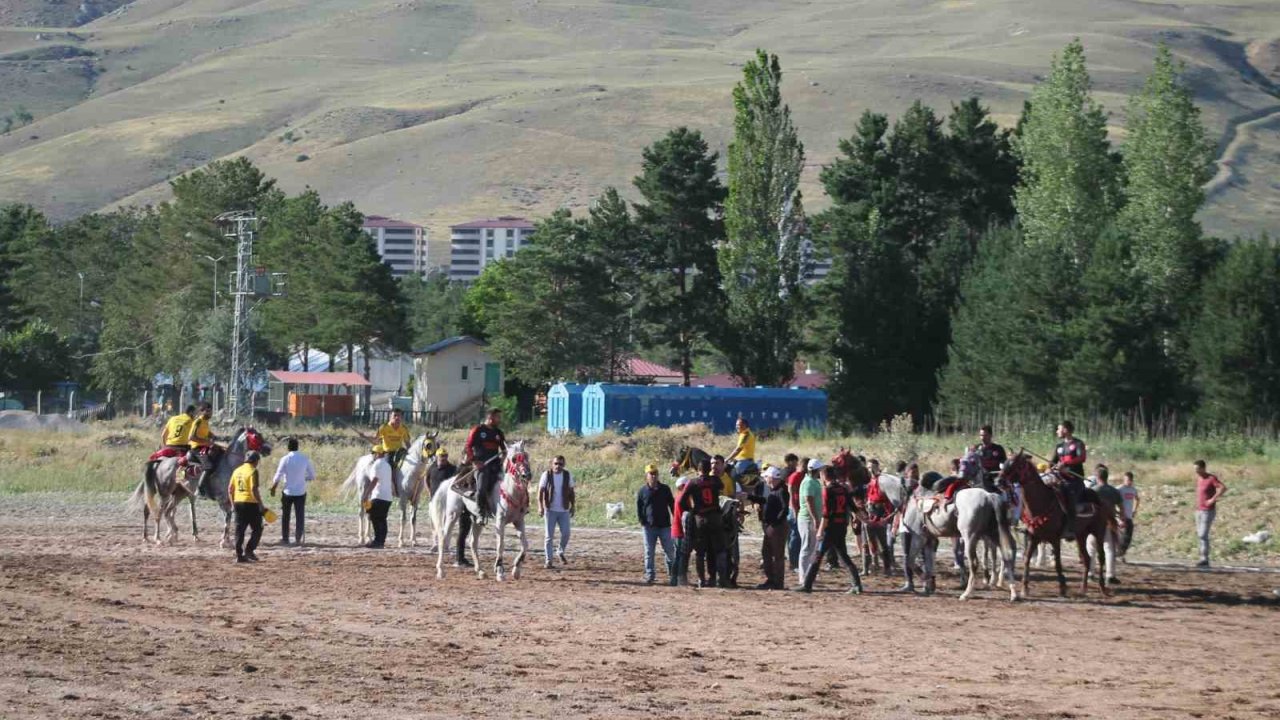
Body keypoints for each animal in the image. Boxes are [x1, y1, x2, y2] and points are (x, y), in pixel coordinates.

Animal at [430, 440, 529, 579]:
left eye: (526, 456)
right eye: (514, 459)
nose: (526, 475)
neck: (510, 491)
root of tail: (452, 481)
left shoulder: (519, 521)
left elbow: (525, 545)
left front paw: (516, 569)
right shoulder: (500, 521)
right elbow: (500, 545)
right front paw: (499, 571)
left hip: (476, 518)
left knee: (473, 542)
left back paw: (480, 570)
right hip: (453, 513)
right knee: (444, 537)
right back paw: (441, 570)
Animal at [998, 450, 1121, 597]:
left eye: (1016, 464)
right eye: (1005, 462)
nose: (999, 481)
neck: (1043, 501)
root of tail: (1102, 502)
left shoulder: (1055, 539)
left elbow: (1057, 563)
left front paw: (1063, 587)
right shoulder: (1034, 537)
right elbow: (1027, 559)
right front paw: (1024, 588)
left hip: (1098, 531)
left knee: (1101, 557)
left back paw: (1102, 587)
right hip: (1081, 535)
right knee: (1086, 558)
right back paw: (1083, 588)